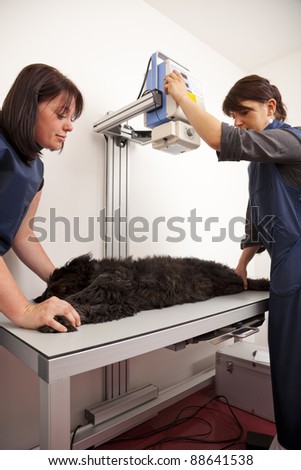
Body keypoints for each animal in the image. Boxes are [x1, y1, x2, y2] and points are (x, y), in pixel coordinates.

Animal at [34, 253, 268, 334]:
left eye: (52, 285)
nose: (46, 295)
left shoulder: (114, 279)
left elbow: (82, 296)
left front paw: (57, 315)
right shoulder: (120, 306)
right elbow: (86, 310)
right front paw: (58, 320)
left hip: (226, 276)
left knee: (247, 282)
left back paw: (264, 283)